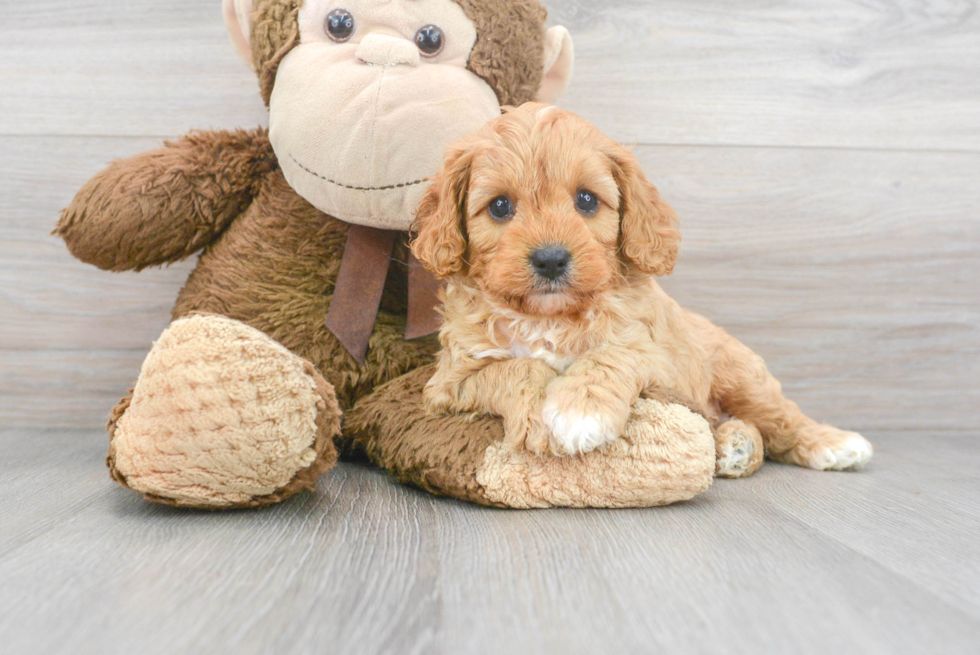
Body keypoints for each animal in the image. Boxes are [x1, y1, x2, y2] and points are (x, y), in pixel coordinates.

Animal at [412, 104, 872, 476]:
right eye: (500, 206)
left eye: (586, 200)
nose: (551, 259)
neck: (550, 317)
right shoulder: (450, 382)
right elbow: (515, 368)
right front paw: (540, 420)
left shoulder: (659, 359)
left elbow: (611, 355)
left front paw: (581, 411)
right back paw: (735, 445)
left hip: (742, 375)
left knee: (780, 418)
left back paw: (830, 444)